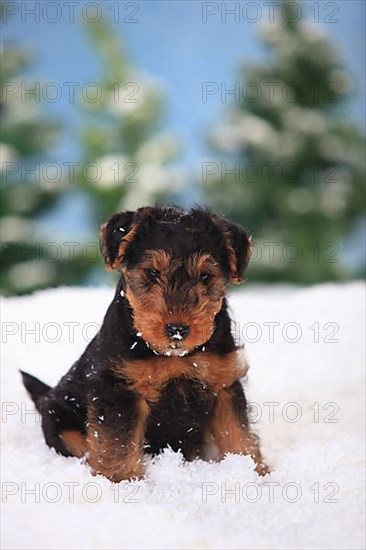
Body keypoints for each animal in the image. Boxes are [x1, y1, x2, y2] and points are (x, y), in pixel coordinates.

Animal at [22, 207, 268, 484]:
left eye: (206, 276)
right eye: (152, 272)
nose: (177, 329)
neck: (176, 356)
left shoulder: (224, 383)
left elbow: (237, 432)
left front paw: (253, 472)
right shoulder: (120, 390)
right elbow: (118, 443)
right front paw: (122, 482)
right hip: (59, 418)